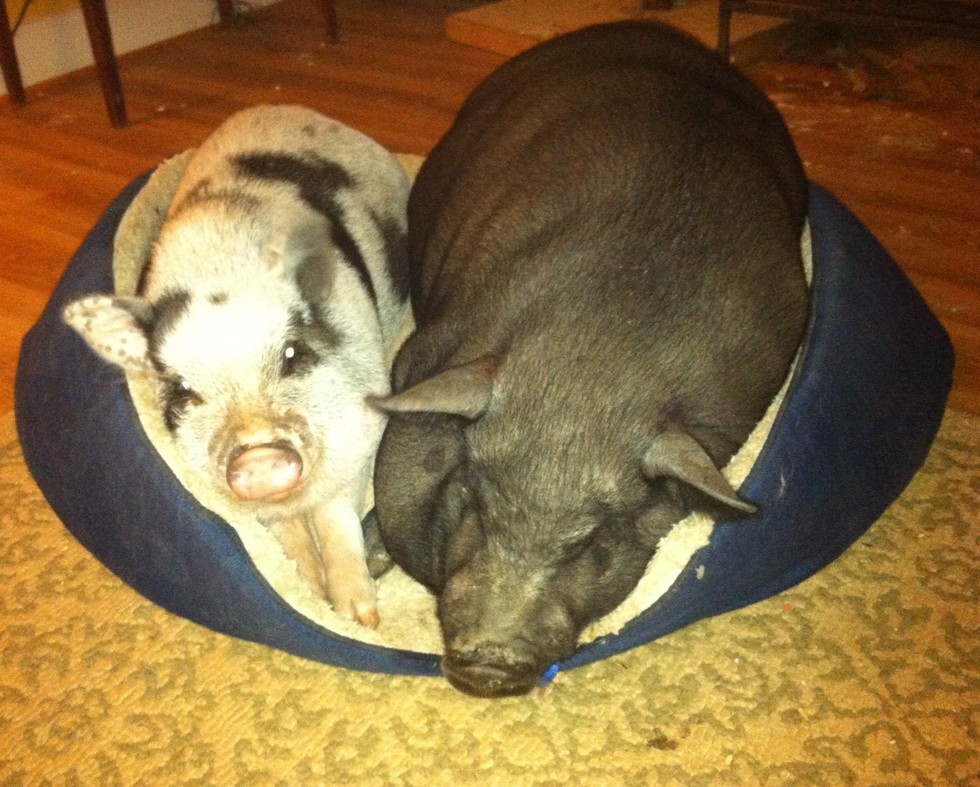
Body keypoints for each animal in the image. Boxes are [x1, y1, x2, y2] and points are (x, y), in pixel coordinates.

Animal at [63, 105, 409, 628]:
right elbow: (284, 533)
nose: (260, 457)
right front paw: (311, 593)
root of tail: (292, 110)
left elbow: (335, 515)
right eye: (185, 392)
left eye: (292, 355)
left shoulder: (361, 427)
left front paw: (357, 617)